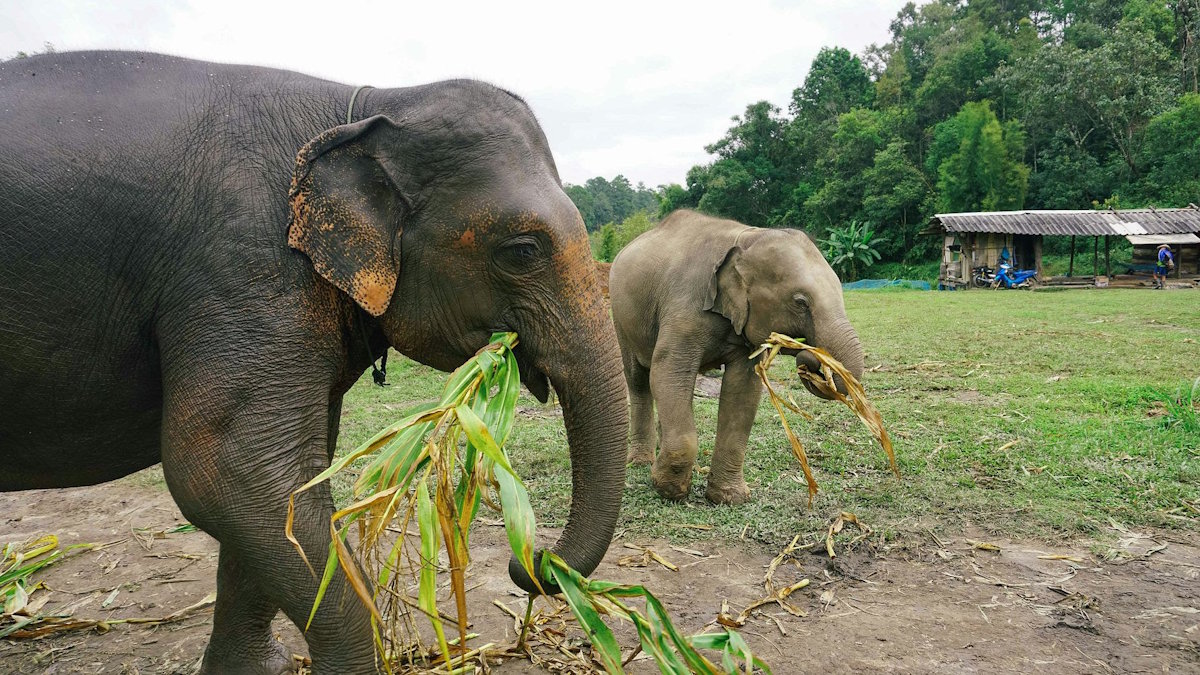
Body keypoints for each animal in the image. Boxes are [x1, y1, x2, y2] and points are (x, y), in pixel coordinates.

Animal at [2, 52, 628, 672]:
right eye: (522, 251)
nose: (533, 563)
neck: (367, 105)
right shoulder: (243, 264)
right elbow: (227, 468)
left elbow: (281, 486)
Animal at [609, 207, 864, 502]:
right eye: (800, 302)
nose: (809, 359)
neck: (745, 238)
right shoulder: (684, 308)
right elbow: (668, 371)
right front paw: (669, 490)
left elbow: (742, 390)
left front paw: (729, 498)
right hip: (621, 318)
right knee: (639, 380)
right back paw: (640, 462)